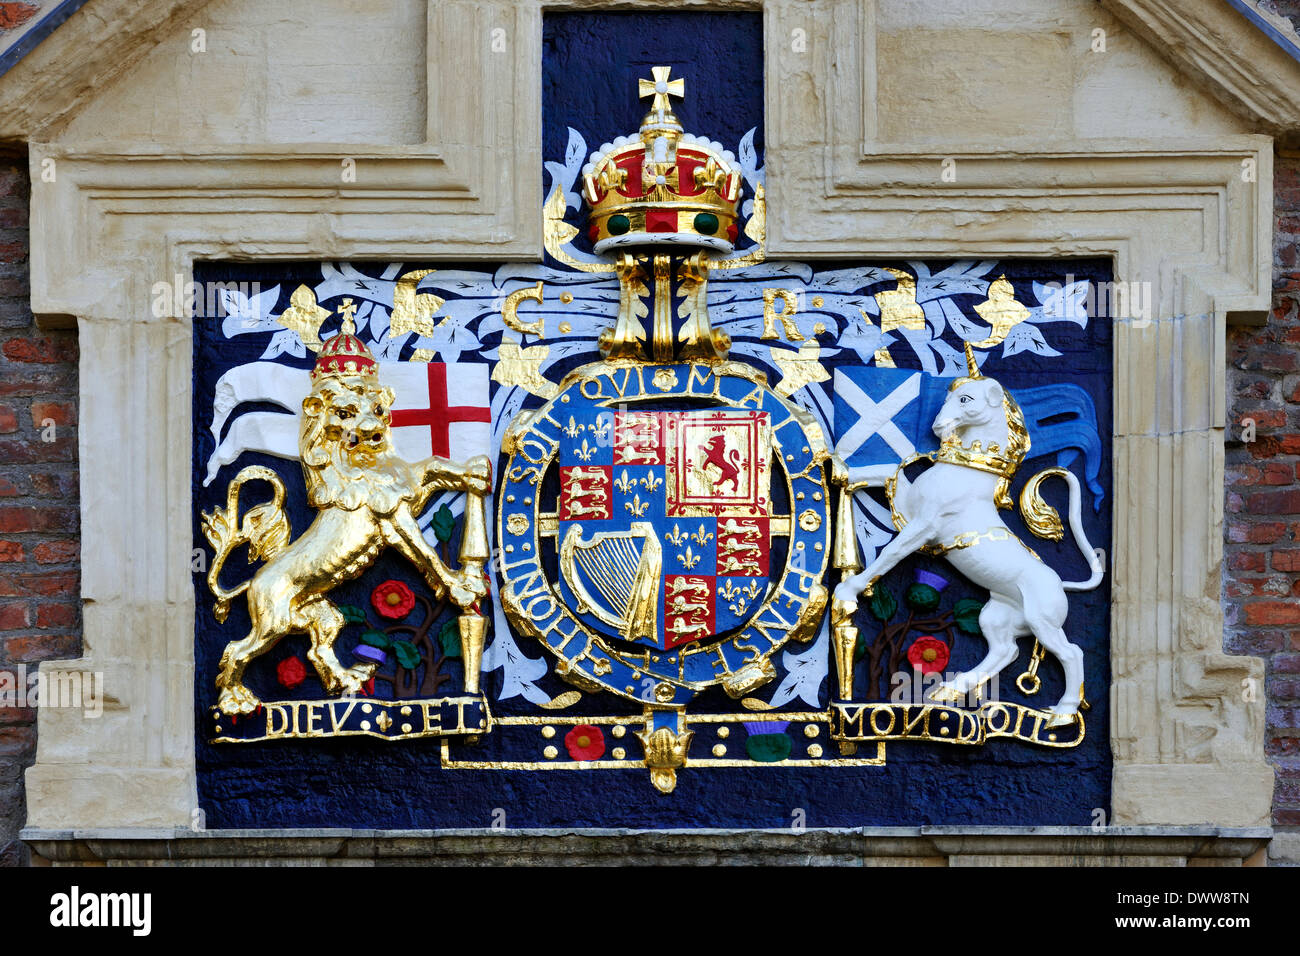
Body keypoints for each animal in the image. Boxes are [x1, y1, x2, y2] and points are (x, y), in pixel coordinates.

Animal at [202, 308, 491, 717]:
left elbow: (434, 465)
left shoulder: (405, 486)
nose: (373, 434)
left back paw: (348, 681)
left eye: (379, 410)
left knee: (315, 649)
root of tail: (252, 582)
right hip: (273, 620)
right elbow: (426, 553)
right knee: (236, 650)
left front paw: (475, 470)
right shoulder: (390, 515)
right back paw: (235, 700)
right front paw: (461, 588)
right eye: (344, 412)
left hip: (321, 613)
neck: (361, 465)